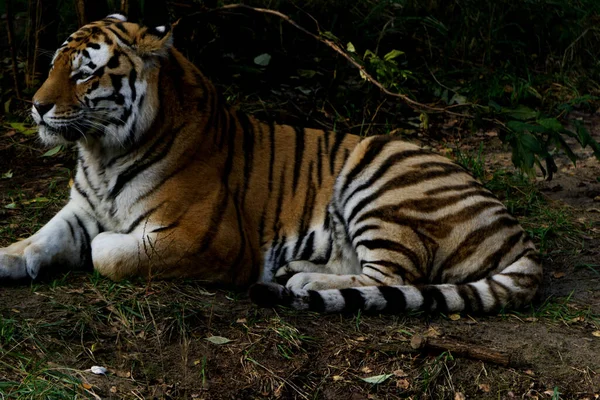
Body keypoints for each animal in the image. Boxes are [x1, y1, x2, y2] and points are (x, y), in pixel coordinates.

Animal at [0, 15, 544, 314]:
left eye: (85, 74)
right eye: (53, 65)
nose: (36, 106)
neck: (102, 152)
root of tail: (518, 233)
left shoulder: (207, 238)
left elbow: (108, 253)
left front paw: (105, 246)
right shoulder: (82, 208)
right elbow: (40, 238)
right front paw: (10, 256)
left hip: (380, 177)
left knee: (396, 279)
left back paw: (304, 281)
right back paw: (295, 269)